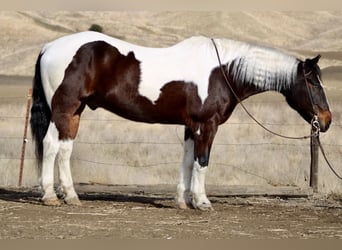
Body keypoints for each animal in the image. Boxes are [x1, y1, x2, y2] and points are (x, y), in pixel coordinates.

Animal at [30, 31, 332, 211]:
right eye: (313, 83)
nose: (326, 120)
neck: (222, 72)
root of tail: (48, 47)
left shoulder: (191, 126)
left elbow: (187, 161)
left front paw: (181, 201)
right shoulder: (207, 125)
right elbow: (202, 162)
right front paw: (202, 201)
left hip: (74, 112)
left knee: (65, 149)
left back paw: (71, 196)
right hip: (64, 109)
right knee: (51, 146)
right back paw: (50, 196)